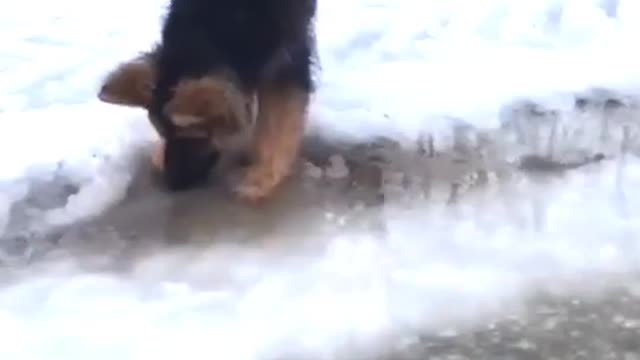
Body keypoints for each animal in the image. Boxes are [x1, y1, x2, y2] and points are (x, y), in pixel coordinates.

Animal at [98, 0, 318, 202]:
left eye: (195, 134)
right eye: (162, 132)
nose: (172, 184)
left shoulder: (289, 59)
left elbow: (276, 124)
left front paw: (262, 176)